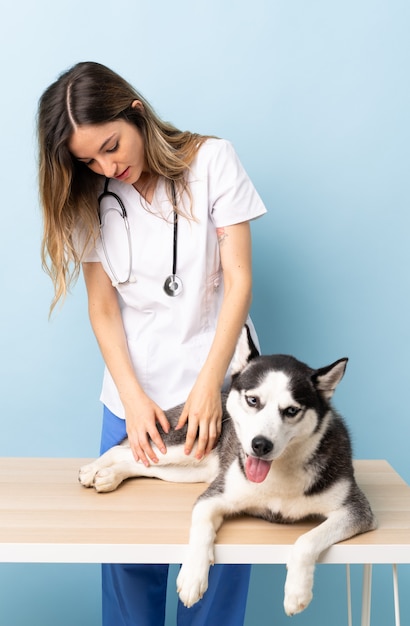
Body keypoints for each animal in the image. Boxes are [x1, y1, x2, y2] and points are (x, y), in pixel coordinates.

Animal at [78, 326, 376, 616]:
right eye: (253, 400)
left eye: (291, 410)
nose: (260, 445)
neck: (280, 472)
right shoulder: (214, 496)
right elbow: (201, 527)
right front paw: (192, 577)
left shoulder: (356, 510)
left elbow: (306, 540)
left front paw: (296, 592)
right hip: (183, 447)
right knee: (126, 450)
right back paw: (94, 469)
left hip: (187, 470)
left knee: (141, 463)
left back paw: (110, 475)